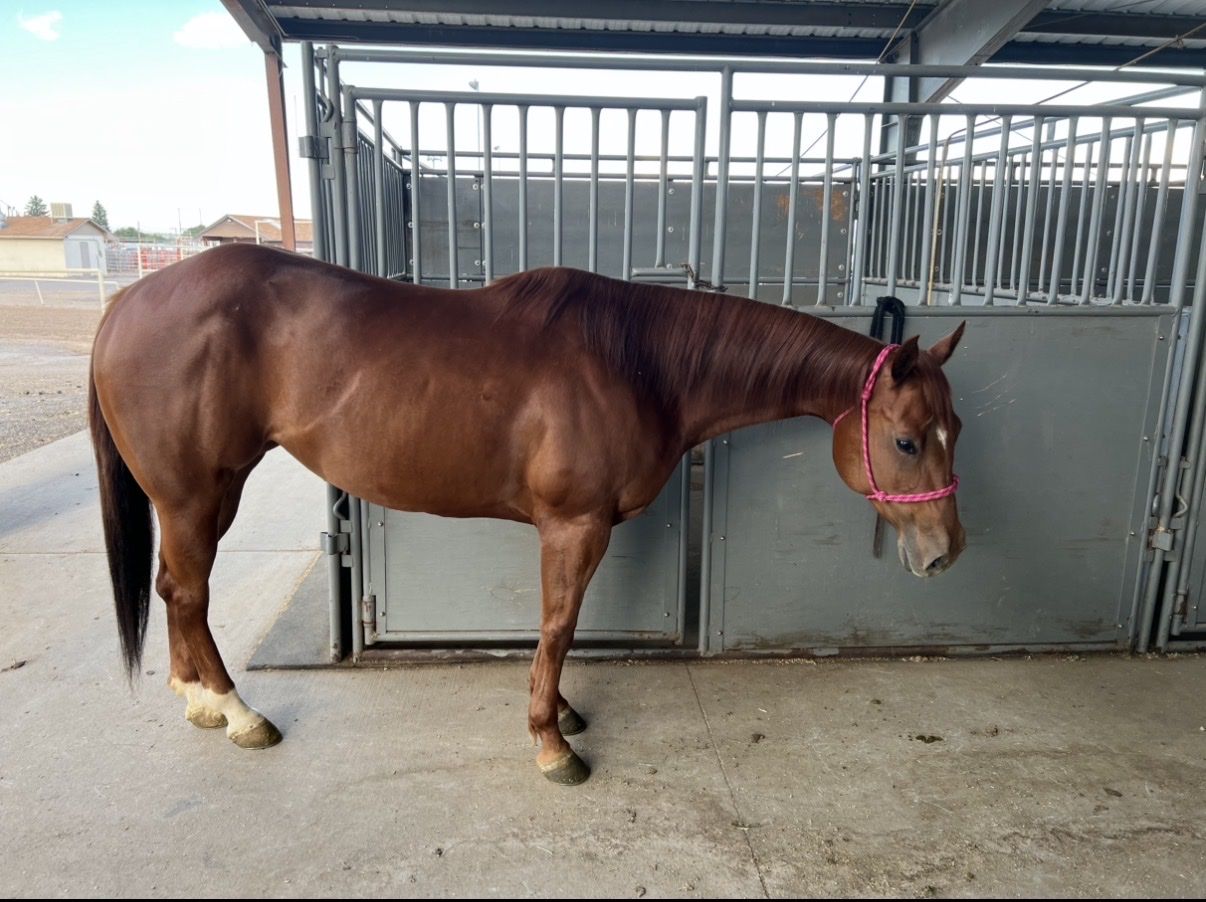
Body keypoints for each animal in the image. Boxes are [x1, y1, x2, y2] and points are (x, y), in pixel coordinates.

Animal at [88, 242, 966, 785]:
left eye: (954, 429)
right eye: (907, 440)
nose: (945, 552)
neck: (638, 363)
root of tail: (127, 301)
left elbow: (557, 626)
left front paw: (564, 714)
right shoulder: (575, 525)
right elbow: (559, 622)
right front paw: (552, 741)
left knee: (174, 591)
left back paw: (200, 702)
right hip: (198, 491)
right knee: (189, 593)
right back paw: (239, 713)